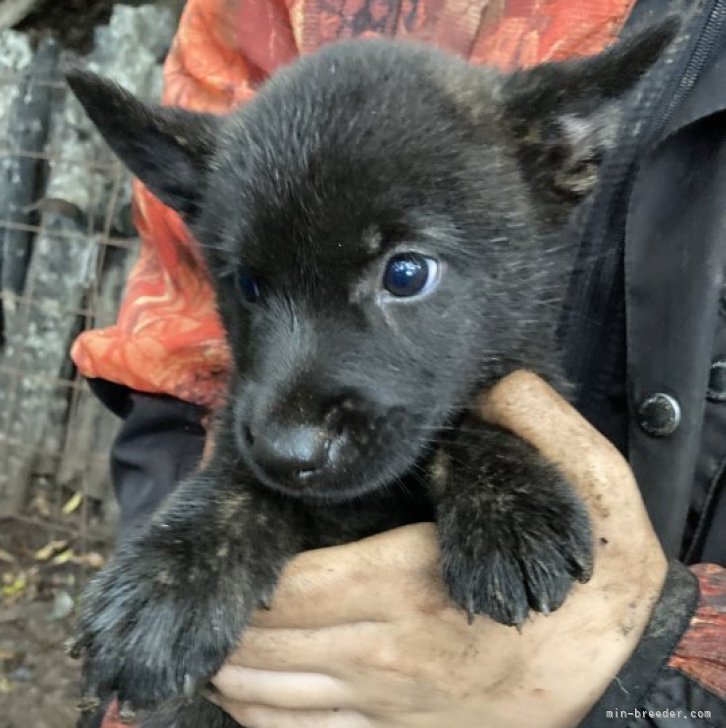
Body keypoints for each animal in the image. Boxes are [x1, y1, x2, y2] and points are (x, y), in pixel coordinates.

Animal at [68, 21, 676, 728]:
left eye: (406, 274)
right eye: (246, 285)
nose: (289, 454)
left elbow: (474, 413)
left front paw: (511, 505)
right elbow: (235, 481)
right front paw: (170, 574)